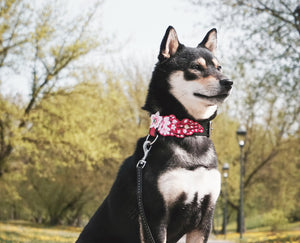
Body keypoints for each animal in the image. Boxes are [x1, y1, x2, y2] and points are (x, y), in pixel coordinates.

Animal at [76, 25, 233, 242]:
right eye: (196, 67)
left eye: (219, 68)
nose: (229, 82)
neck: (187, 133)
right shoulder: (155, 217)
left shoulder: (204, 219)